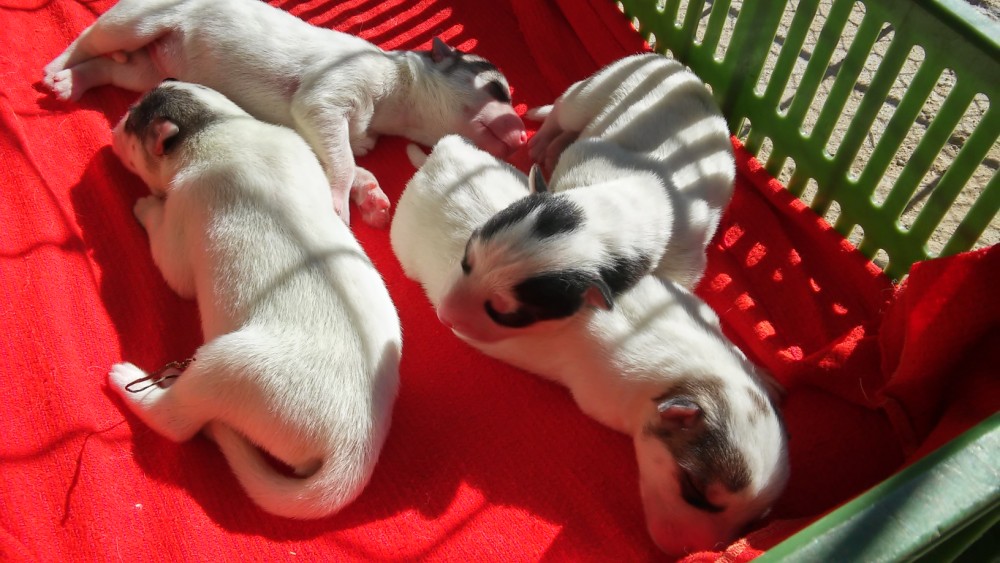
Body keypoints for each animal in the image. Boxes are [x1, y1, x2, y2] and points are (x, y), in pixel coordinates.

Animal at [43, 0, 526, 228]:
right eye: (497, 89)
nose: (524, 135)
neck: (399, 90)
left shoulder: (331, 130)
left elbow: (347, 160)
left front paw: (370, 196)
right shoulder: (326, 98)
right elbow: (342, 162)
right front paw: (342, 203)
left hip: (146, 67)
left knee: (112, 67)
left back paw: (75, 81)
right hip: (137, 21)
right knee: (90, 37)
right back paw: (57, 69)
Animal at [107, 81, 402, 519]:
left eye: (131, 122)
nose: (114, 125)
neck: (217, 126)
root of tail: (354, 451)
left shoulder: (180, 216)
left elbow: (172, 263)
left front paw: (146, 206)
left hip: (228, 365)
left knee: (176, 420)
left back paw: (131, 382)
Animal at [391, 135, 788, 556]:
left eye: (754, 522)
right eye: (695, 491)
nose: (695, 552)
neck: (693, 374)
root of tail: (435, 158)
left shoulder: (701, 315)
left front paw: (767, 378)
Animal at [436, 53, 735, 343]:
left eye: (505, 314)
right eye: (466, 259)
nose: (442, 315)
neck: (620, 204)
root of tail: (681, 67)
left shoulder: (683, 264)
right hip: (594, 90)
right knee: (563, 111)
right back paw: (542, 140)